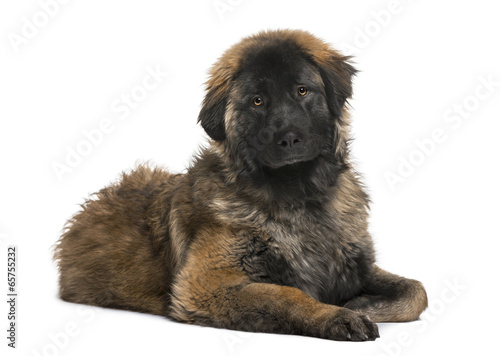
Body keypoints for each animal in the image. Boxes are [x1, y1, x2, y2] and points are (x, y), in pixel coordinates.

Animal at [55, 29, 430, 340]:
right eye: (257, 101)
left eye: (302, 90)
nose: (289, 138)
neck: (298, 198)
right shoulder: (205, 284)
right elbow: (287, 294)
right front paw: (336, 315)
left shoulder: (357, 265)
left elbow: (417, 290)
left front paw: (362, 304)